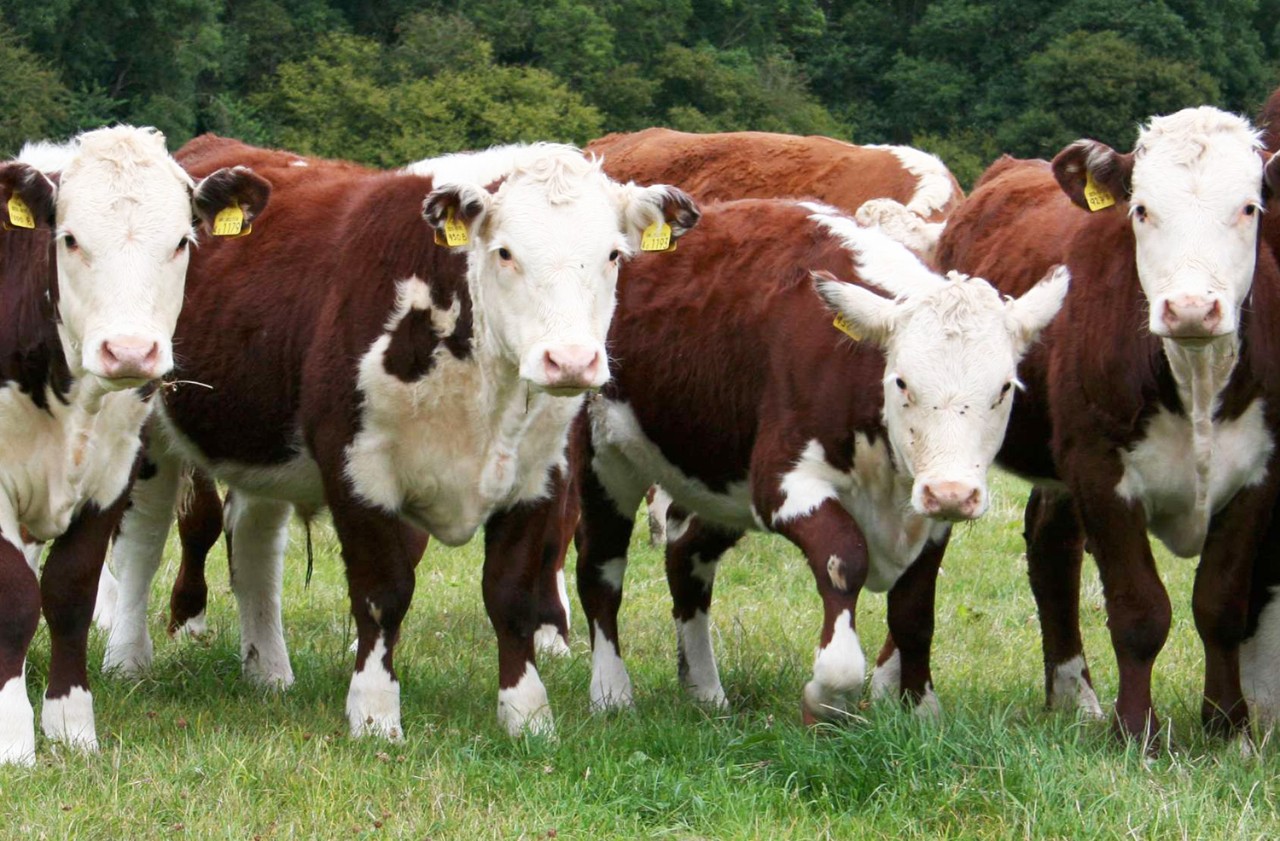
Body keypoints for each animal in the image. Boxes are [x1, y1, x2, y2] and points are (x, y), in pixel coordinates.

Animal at [0, 126, 269, 765]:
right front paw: (13, 736)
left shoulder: (110, 476)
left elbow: (69, 592)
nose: (128, 350)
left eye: (181, 242)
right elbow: (14, 597)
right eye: (69, 239)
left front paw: (71, 726)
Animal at [100, 136, 699, 740]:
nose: (571, 360)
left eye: (613, 255)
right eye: (505, 252)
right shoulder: (356, 468)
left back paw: (267, 669)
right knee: (144, 539)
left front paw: (528, 716)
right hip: (145, 423)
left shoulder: (539, 474)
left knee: (254, 543)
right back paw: (127, 658)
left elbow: (512, 596)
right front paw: (375, 714)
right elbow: (382, 594)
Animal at [571, 197, 1066, 722]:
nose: (951, 492)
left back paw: (704, 689)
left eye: (1005, 388)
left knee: (687, 557)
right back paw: (611, 692)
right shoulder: (783, 484)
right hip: (603, 459)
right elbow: (843, 560)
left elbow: (913, 610)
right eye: (902, 382)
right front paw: (827, 694)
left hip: (718, 479)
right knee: (600, 570)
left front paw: (920, 708)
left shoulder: (927, 512)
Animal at [929, 106, 1280, 742]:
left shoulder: (1259, 473)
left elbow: (1220, 604)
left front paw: (1227, 726)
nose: (1191, 308)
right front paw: (1137, 730)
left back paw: (1073, 695)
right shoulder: (1098, 468)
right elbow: (1140, 609)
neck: (1194, 377)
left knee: (1051, 546)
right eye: (1141, 209)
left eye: (1249, 207)